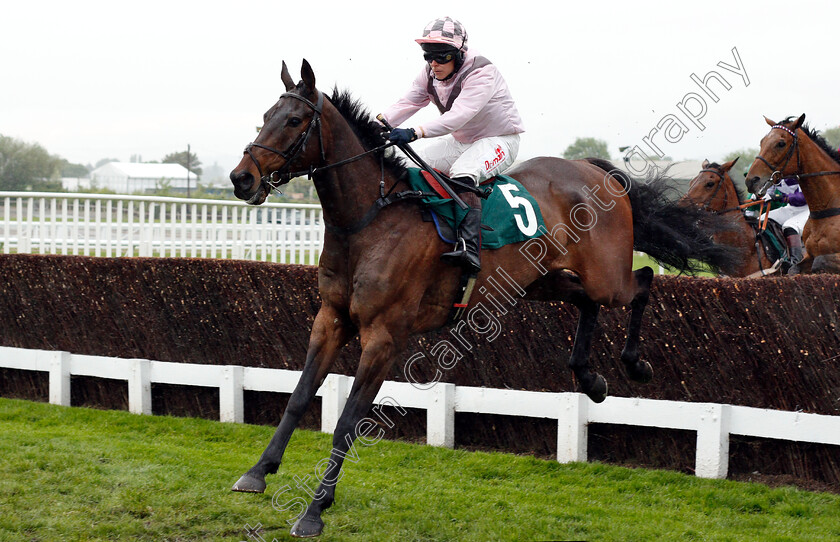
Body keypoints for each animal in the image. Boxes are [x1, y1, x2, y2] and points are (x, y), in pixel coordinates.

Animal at [226, 59, 740, 540]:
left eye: (294, 120)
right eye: (266, 115)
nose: (241, 178)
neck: (369, 221)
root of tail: (596, 170)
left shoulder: (383, 337)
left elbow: (348, 421)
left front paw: (314, 510)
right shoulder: (331, 319)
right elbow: (298, 398)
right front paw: (257, 473)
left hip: (604, 276)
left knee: (644, 280)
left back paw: (635, 364)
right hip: (538, 281)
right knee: (587, 303)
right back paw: (590, 379)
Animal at [744, 116, 840, 274]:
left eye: (781, 143)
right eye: (762, 142)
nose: (751, 180)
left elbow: (819, 261)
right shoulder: (809, 255)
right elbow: (794, 270)